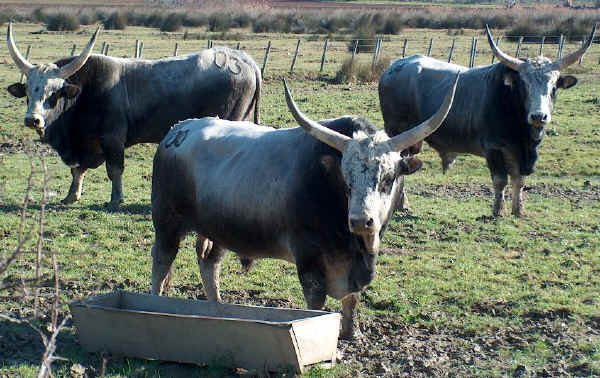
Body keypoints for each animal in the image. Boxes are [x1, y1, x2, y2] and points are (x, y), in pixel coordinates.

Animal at [5, 24, 260, 207]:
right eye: (28, 90)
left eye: (54, 92)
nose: (32, 119)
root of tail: (242, 59)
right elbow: (77, 169)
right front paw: (71, 196)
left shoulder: (113, 139)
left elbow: (114, 169)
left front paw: (115, 200)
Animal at [150, 77, 460, 340]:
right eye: (346, 181)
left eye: (388, 178)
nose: (361, 221)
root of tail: (178, 130)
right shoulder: (309, 259)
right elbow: (315, 301)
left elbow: (353, 297)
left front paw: (351, 333)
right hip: (167, 223)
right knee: (162, 261)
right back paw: (156, 304)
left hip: (219, 230)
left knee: (209, 263)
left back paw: (218, 309)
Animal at [380, 25, 596, 217]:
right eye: (524, 85)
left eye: (553, 87)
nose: (538, 116)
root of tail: (392, 68)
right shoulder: (493, 149)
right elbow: (500, 181)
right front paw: (498, 211)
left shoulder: (520, 153)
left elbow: (519, 181)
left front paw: (518, 210)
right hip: (399, 134)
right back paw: (402, 204)